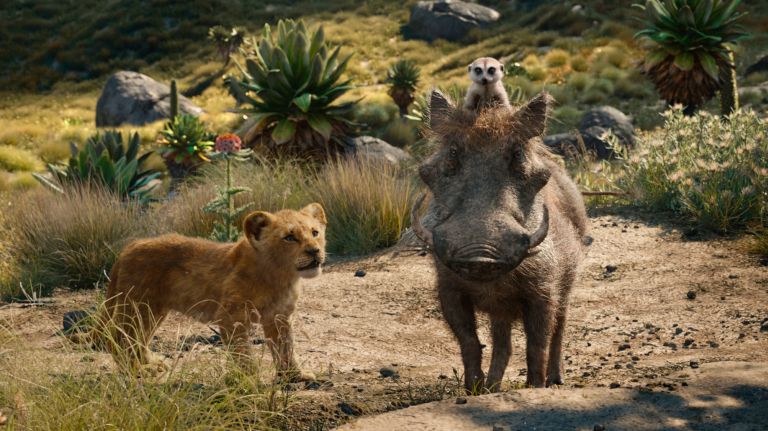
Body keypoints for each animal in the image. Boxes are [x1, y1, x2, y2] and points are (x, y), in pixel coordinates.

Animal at [74, 203, 327, 381]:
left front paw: (294, 376)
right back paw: (138, 371)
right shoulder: (231, 317)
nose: (315, 251)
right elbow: (243, 353)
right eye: (289, 237)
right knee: (119, 338)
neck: (281, 276)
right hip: (137, 306)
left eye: (315, 232)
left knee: (138, 339)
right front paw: (250, 381)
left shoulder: (279, 317)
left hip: (153, 310)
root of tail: (127, 248)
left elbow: (285, 348)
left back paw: (151, 364)